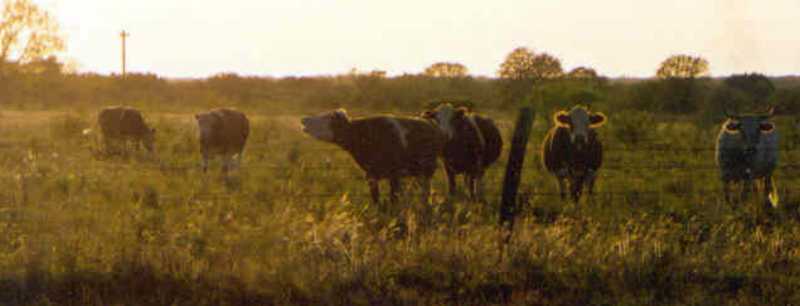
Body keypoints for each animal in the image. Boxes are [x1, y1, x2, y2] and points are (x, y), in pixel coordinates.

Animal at [304, 109, 446, 204]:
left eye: (328, 117)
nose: (304, 119)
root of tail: (430, 123)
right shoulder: (370, 175)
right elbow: (376, 200)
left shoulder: (394, 174)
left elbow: (393, 199)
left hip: (427, 170)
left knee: (425, 193)